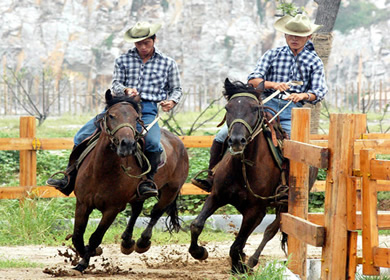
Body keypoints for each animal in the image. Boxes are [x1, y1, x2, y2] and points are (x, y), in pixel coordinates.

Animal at [73, 89, 190, 272]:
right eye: (111, 115)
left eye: (136, 118)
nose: (127, 144)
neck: (100, 171)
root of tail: (179, 142)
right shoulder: (82, 203)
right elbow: (77, 235)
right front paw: (86, 255)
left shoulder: (112, 209)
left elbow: (95, 237)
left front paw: (85, 260)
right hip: (138, 195)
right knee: (136, 210)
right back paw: (127, 242)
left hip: (170, 191)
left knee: (156, 212)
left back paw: (142, 242)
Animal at [189, 78, 290, 274]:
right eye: (228, 107)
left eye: (255, 108)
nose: (236, 141)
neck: (242, 169)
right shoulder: (216, 196)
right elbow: (197, 225)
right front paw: (199, 252)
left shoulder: (256, 210)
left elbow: (236, 244)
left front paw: (239, 266)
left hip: (285, 204)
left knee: (271, 230)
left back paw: (251, 260)